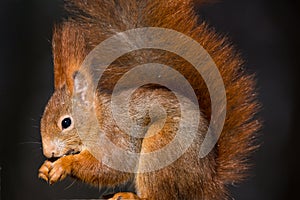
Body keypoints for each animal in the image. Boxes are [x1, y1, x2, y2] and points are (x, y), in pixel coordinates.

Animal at [37, 0, 260, 199]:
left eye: (66, 122)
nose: (48, 152)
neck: (100, 119)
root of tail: (208, 183)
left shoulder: (118, 138)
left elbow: (111, 167)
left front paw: (64, 164)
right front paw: (46, 167)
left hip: (160, 150)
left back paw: (130, 196)